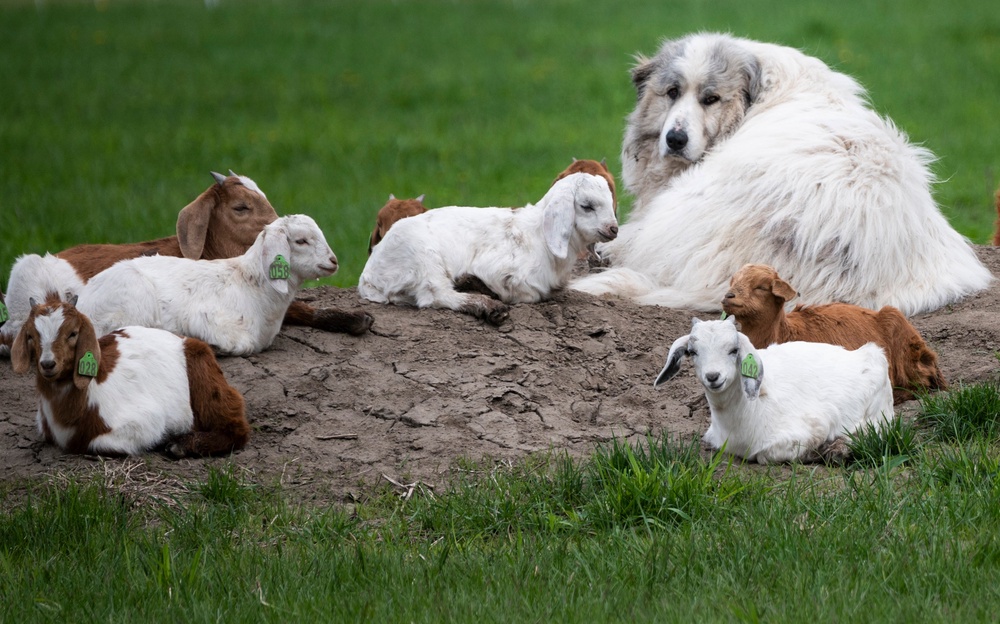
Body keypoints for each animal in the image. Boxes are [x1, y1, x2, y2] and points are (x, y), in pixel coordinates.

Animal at [11, 296, 248, 457]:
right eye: (31, 336)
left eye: (73, 333)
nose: (48, 364)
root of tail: (182, 338)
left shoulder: (144, 420)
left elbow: (99, 444)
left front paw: (166, 440)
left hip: (204, 376)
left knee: (235, 427)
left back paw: (180, 445)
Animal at [75, 215, 339, 355]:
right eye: (301, 241)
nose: (333, 261)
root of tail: (84, 305)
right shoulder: (208, 318)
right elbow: (241, 344)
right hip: (132, 298)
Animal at [357, 172, 618, 325]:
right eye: (586, 206)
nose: (613, 229)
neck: (538, 234)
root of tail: (369, 276)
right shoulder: (507, 273)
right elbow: (528, 294)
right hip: (424, 259)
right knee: (435, 295)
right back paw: (489, 307)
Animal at [654, 317, 895, 464]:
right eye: (693, 352)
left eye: (734, 350)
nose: (713, 377)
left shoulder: (811, 427)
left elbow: (765, 455)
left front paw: (817, 452)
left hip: (877, 414)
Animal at [721, 263, 947, 403]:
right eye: (732, 281)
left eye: (760, 287)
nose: (728, 296)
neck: (785, 333)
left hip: (904, 340)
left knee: (922, 381)